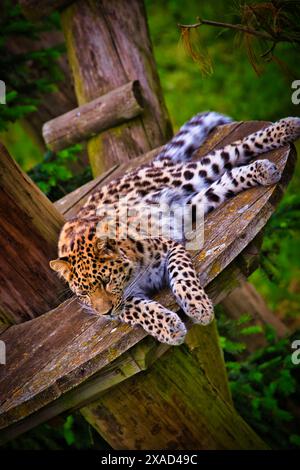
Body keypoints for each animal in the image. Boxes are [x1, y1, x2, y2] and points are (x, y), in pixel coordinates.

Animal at [49, 110, 300, 346]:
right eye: (84, 293)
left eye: (106, 281)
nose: (105, 314)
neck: (135, 275)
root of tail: (147, 166)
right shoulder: (126, 299)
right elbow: (135, 309)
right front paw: (168, 328)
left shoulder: (169, 246)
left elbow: (181, 274)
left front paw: (198, 306)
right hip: (188, 205)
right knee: (224, 179)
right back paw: (263, 169)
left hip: (184, 177)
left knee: (229, 152)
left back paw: (285, 130)